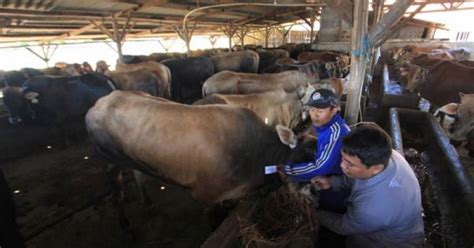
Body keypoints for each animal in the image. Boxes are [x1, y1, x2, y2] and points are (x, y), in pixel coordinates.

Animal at [85, 90, 314, 206]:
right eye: (301, 157)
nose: (313, 190)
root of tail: (99, 103)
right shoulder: (205, 195)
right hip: (110, 161)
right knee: (116, 186)